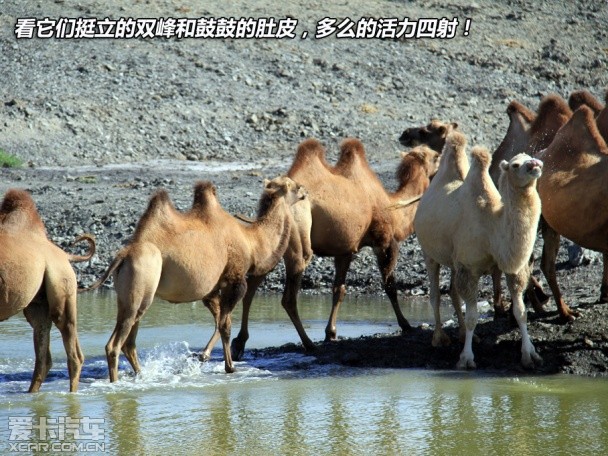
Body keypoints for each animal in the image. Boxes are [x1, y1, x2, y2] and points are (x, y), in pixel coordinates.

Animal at [85, 178, 304, 382]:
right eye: (293, 186)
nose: (305, 192)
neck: (252, 243)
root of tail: (123, 255)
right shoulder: (235, 280)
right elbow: (225, 325)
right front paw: (229, 367)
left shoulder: (211, 290)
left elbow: (220, 321)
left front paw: (207, 357)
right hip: (140, 286)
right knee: (114, 345)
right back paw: (116, 384)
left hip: (129, 297)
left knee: (128, 342)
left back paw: (141, 375)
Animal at [416, 131, 544, 366]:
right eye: (515, 164)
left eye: (531, 156)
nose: (535, 164)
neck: (492, 226)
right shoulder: (469, 267)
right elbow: (472, 317)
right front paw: (466, 358)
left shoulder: (513, 268)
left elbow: (520, 311)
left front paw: (530, 354)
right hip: (428, 251)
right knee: (435, 293)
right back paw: (439, 337)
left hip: (453, 259)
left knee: (453, 291)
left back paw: (461, 335)